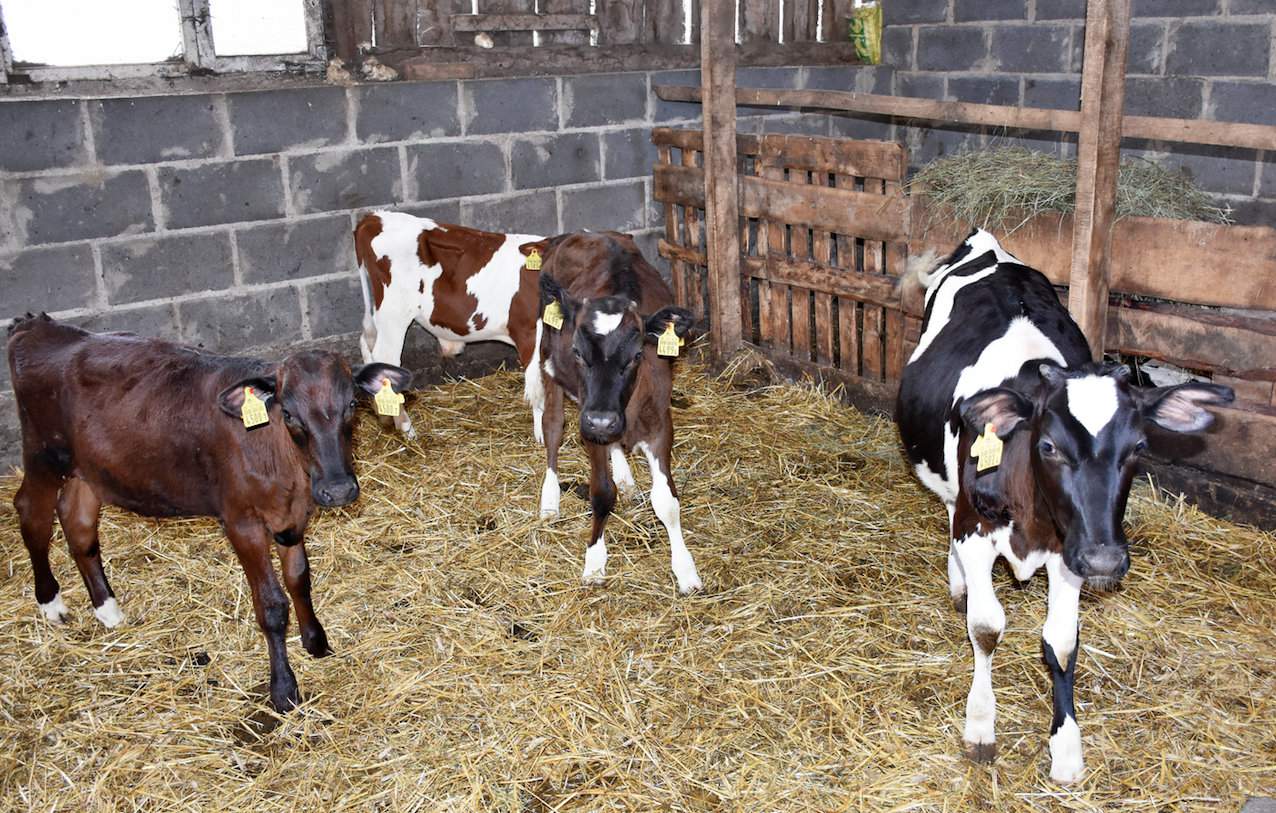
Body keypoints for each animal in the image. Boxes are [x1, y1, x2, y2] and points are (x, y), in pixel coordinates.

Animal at [7, 313, 408, 709]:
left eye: (352, 405)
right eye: (289, 413)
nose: (339, 490)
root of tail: (37, 325)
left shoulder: (293, 517)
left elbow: (299, 579)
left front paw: (315, 641)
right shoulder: (241, 521)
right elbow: (272, 606)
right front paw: (283, 689)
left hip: (89, 469)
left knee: (78, 523)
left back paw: (107, 608)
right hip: (43, 456)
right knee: (32, 516)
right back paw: (50, 602)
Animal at [352, 209, 546, 436]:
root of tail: (375, 217)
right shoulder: (529, 333)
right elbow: (539, 391)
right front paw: (543, 436)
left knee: (368, 344)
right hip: (394, 315)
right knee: (385, 360)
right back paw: (406, 428)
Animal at [523, 231, 704, 592]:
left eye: (637, 355)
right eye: (577, 352)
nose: (602, 420)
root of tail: (575, 234)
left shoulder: (660, 423)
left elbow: (667, 501)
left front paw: (685, 570)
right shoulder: (589, 427)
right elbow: (602, 494)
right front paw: (594, 562)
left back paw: (625, 476)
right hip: (548, 359)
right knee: (552, 427)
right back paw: (550, 499)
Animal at [893, 227, 1230, 781]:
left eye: (1138, 447)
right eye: (1048, 445)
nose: (1105, 560)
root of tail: (985, 242)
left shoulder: (1070, 548)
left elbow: (1062, 641)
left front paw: (1067, 745)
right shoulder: (976, 530)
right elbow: (986, 628)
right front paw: (980, 724)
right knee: (948, 509)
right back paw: (957, 579)